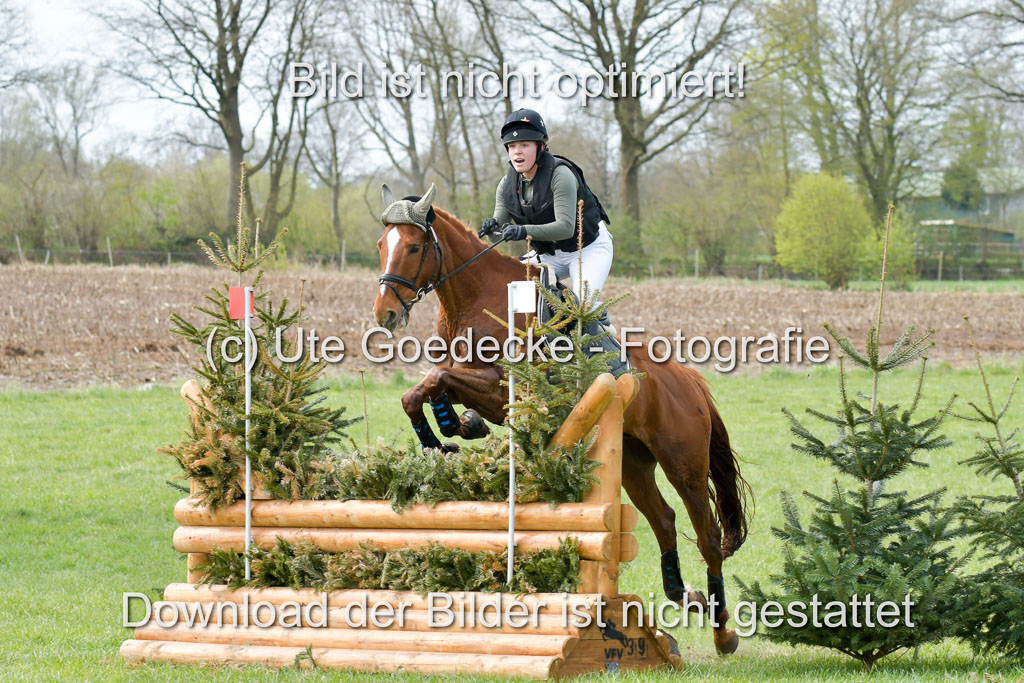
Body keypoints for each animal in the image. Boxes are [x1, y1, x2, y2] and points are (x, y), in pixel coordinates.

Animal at [372, 185, 751, 655]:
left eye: (413, 247)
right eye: (381, 245)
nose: (384, 314)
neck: (475, 299)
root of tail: (689, 380)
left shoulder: (507, 389)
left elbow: (437, 380)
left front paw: (449, 429)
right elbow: (420, 391)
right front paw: (447, 431)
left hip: (684, 465)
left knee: (708, 536)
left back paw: (723, 632)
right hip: (633, 463)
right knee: (663, 519)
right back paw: (686, 595)